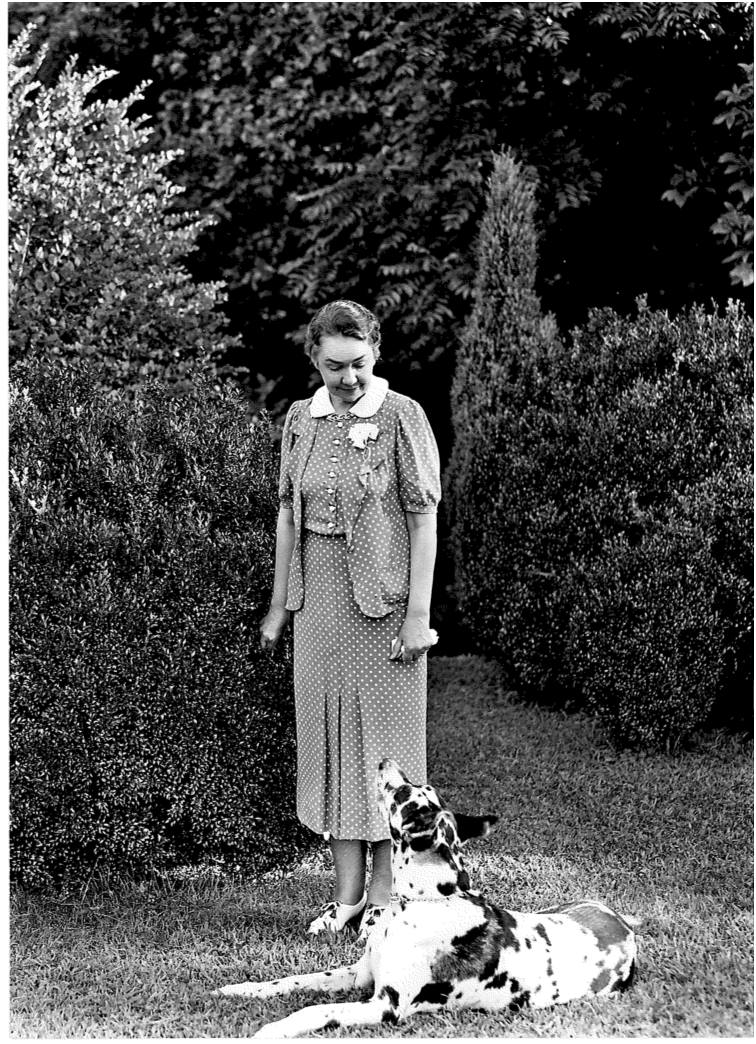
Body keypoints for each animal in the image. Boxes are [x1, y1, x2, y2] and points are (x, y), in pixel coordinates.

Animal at [215, 760, 634, 1035]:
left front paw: (273, 1029)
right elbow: (292, 981)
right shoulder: (357, 975)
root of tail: (625, 925)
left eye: (401, 792)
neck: (419, 905)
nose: (385, 761)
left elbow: (316, 1010)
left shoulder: (385, 1006)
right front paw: (242, 989)